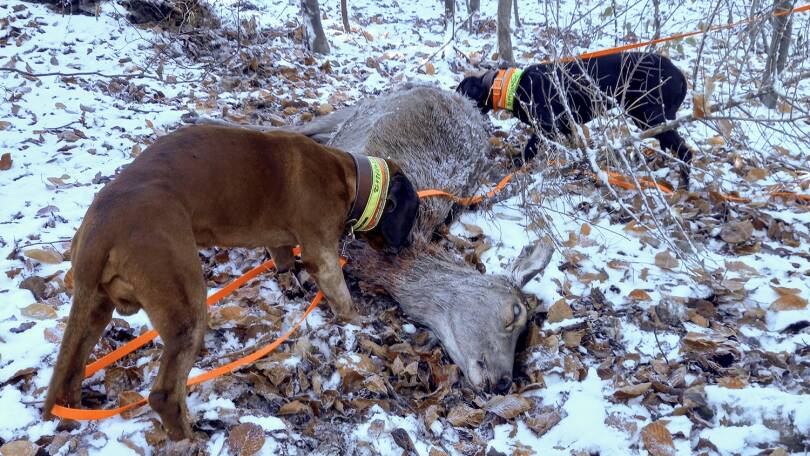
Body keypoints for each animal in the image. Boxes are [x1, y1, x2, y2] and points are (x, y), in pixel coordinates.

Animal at [45, 124, 420, 438]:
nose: (409, 248)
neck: (351, 178)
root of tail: (102, 230)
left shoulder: (280, 244)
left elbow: (284, 260)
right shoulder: (323, 255)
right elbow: (341, 296)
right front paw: (357, 319)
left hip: (95, 309)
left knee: (71, 368)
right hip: (186, 307)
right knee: (164, 394)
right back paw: (189, 438)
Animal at [458, 51, 692, 183]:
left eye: (462, 91)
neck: (512, 87)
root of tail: (680, 75)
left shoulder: (547, 127)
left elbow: (529, 149)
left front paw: (514, 164)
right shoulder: (566, 127)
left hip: (647, 116)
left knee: (685, 151)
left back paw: (684, 182)